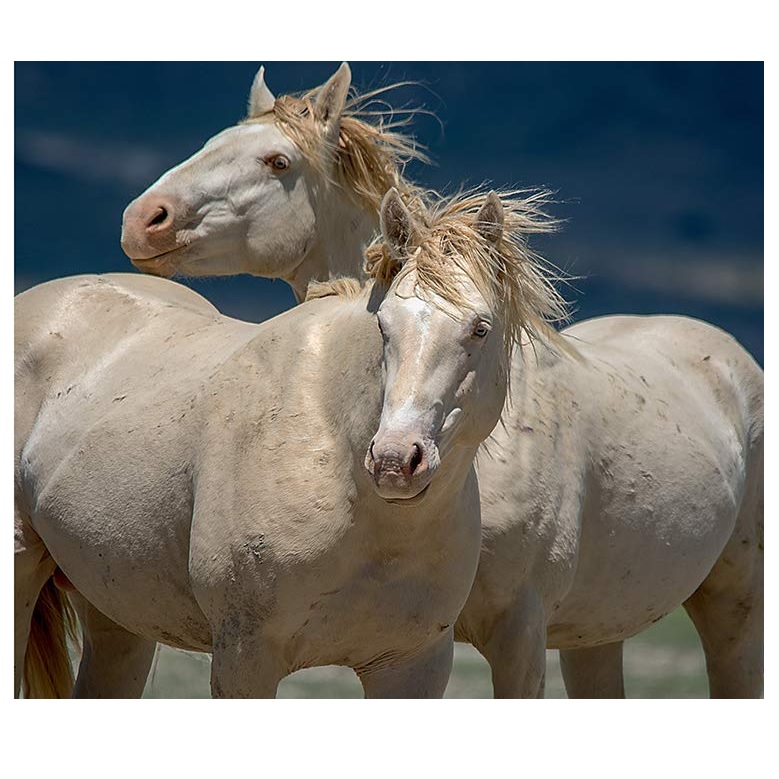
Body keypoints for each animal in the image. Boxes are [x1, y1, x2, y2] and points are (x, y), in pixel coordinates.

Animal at [15, 189, 554, 697]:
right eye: (383, 325)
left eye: (480, 328)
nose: (395, 461)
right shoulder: (244, 658)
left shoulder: (414, 665)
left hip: (116, 615)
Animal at [120, 63, 764, 698]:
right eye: (383, 326)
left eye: (277, 161)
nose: (142, 221)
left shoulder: (519, 634)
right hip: (596, 635)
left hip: (736, 603)